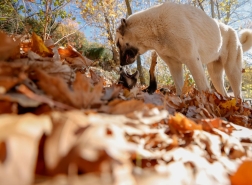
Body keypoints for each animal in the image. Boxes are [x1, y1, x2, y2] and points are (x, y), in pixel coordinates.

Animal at [115, 1, 252, 98]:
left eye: (117, 44)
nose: (120, 64)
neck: (154, 27)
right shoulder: (174, 65)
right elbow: (179, 87)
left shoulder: (192, 60)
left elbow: (203, 87)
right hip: (215, 75)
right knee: (224, 93)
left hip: (232, 71)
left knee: (238, 95)